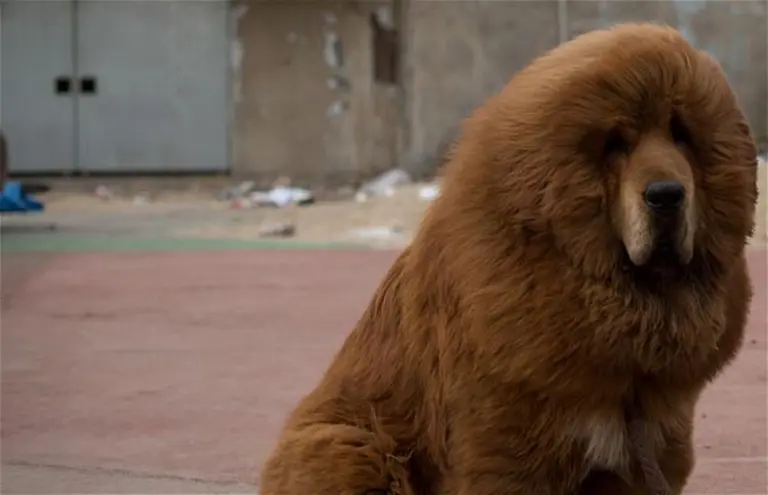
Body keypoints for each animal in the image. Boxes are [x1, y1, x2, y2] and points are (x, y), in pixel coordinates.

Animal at [259, 23, 758, 495]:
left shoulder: (646, 453)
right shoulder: (506, 450)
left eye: (681, 134)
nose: (667, 194)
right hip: (350, 446)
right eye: (615, 143)